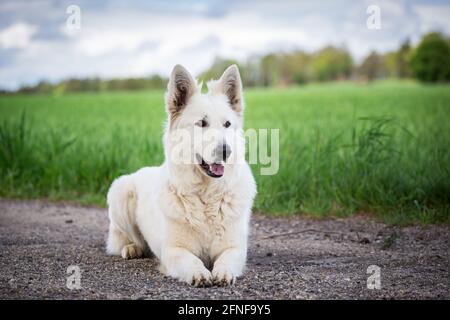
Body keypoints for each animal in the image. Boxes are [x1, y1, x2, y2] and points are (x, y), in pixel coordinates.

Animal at [105, 63, 256, 286]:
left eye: (227, 124)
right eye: (202, 123)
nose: (225, 151)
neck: (206, 196)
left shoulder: (235, 248)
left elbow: (226, 259)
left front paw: (223, 272)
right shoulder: (173, 250)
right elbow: (191, 260)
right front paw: (199, 273)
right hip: (120, 192)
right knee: (131, 239)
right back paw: (133, 248)